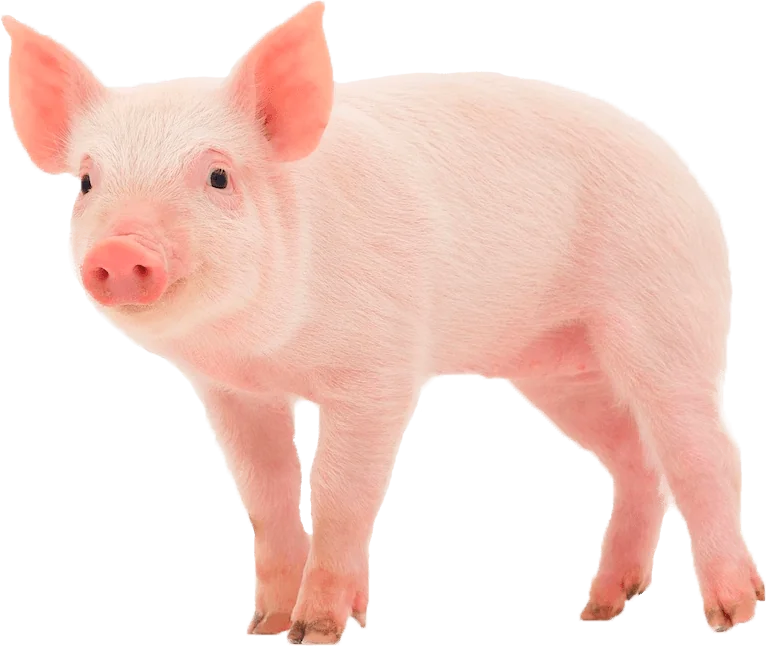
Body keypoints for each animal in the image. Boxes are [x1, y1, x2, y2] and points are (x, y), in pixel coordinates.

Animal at [4, 2, 761, 640]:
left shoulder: (379, 369)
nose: (118, 250)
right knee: (637, 458)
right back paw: (599, 608)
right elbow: (268, 494)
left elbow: (341, 492)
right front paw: (266, 626)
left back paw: (732, 612)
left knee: (707, 451)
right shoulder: (234, 390)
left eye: (218, 177)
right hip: (557, 367)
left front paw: (315, 630)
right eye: (86, 182)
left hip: (668, 316)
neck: (267, 348)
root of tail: (688, 175)